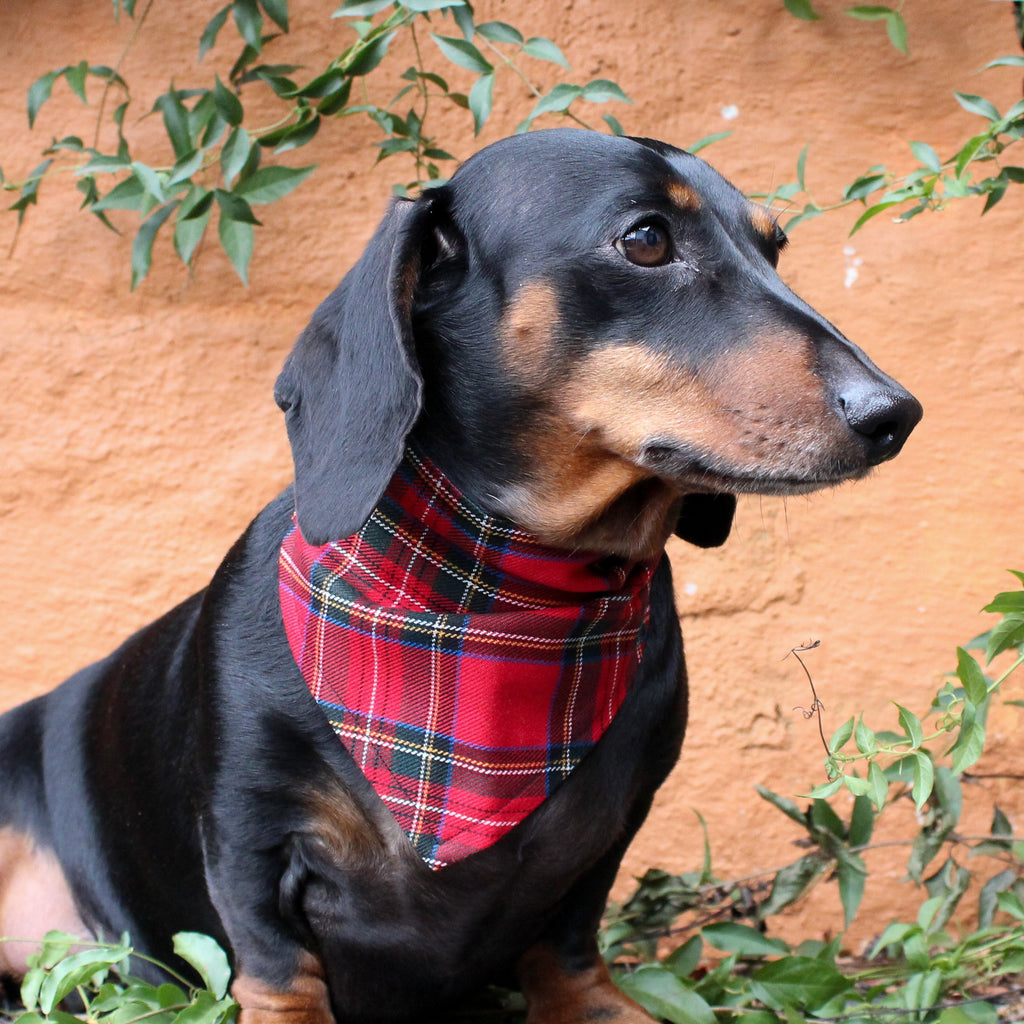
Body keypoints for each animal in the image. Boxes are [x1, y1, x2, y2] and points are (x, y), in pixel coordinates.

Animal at [0, 130, 921, 1024]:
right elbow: (274, 963)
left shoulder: (611, 831)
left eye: (774, 246)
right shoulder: (247, 829)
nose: (895, 414)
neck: (500, 596)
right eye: (646, 239)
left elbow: (568, 942)